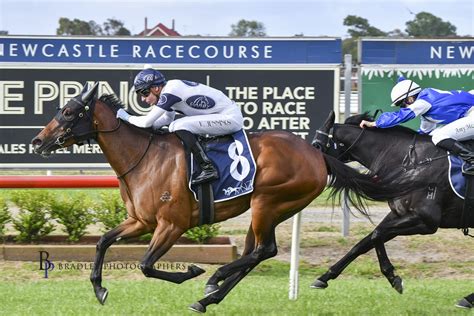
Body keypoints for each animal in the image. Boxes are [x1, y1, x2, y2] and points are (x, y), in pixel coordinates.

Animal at [30, 82, 414, 312]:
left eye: (68, 112)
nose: (37, 141)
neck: (144, 157)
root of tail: (317, 155)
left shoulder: (171, 225)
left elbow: (146, 265)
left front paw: (193, 270)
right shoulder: (140, 220)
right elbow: (102, 243)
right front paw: (99, 290)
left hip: (267, 203)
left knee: (263, 250)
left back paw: (213, 281)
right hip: (268, 210)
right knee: (254, 254)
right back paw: (210, 297)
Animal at [312, 110, 474, 308]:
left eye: (316, 145)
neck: (410, 162)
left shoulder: (426, 221)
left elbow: (376, 235)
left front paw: (393, 277)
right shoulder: (399, 214)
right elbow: (364, 242)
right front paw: (324, 277)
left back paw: (468, 299)